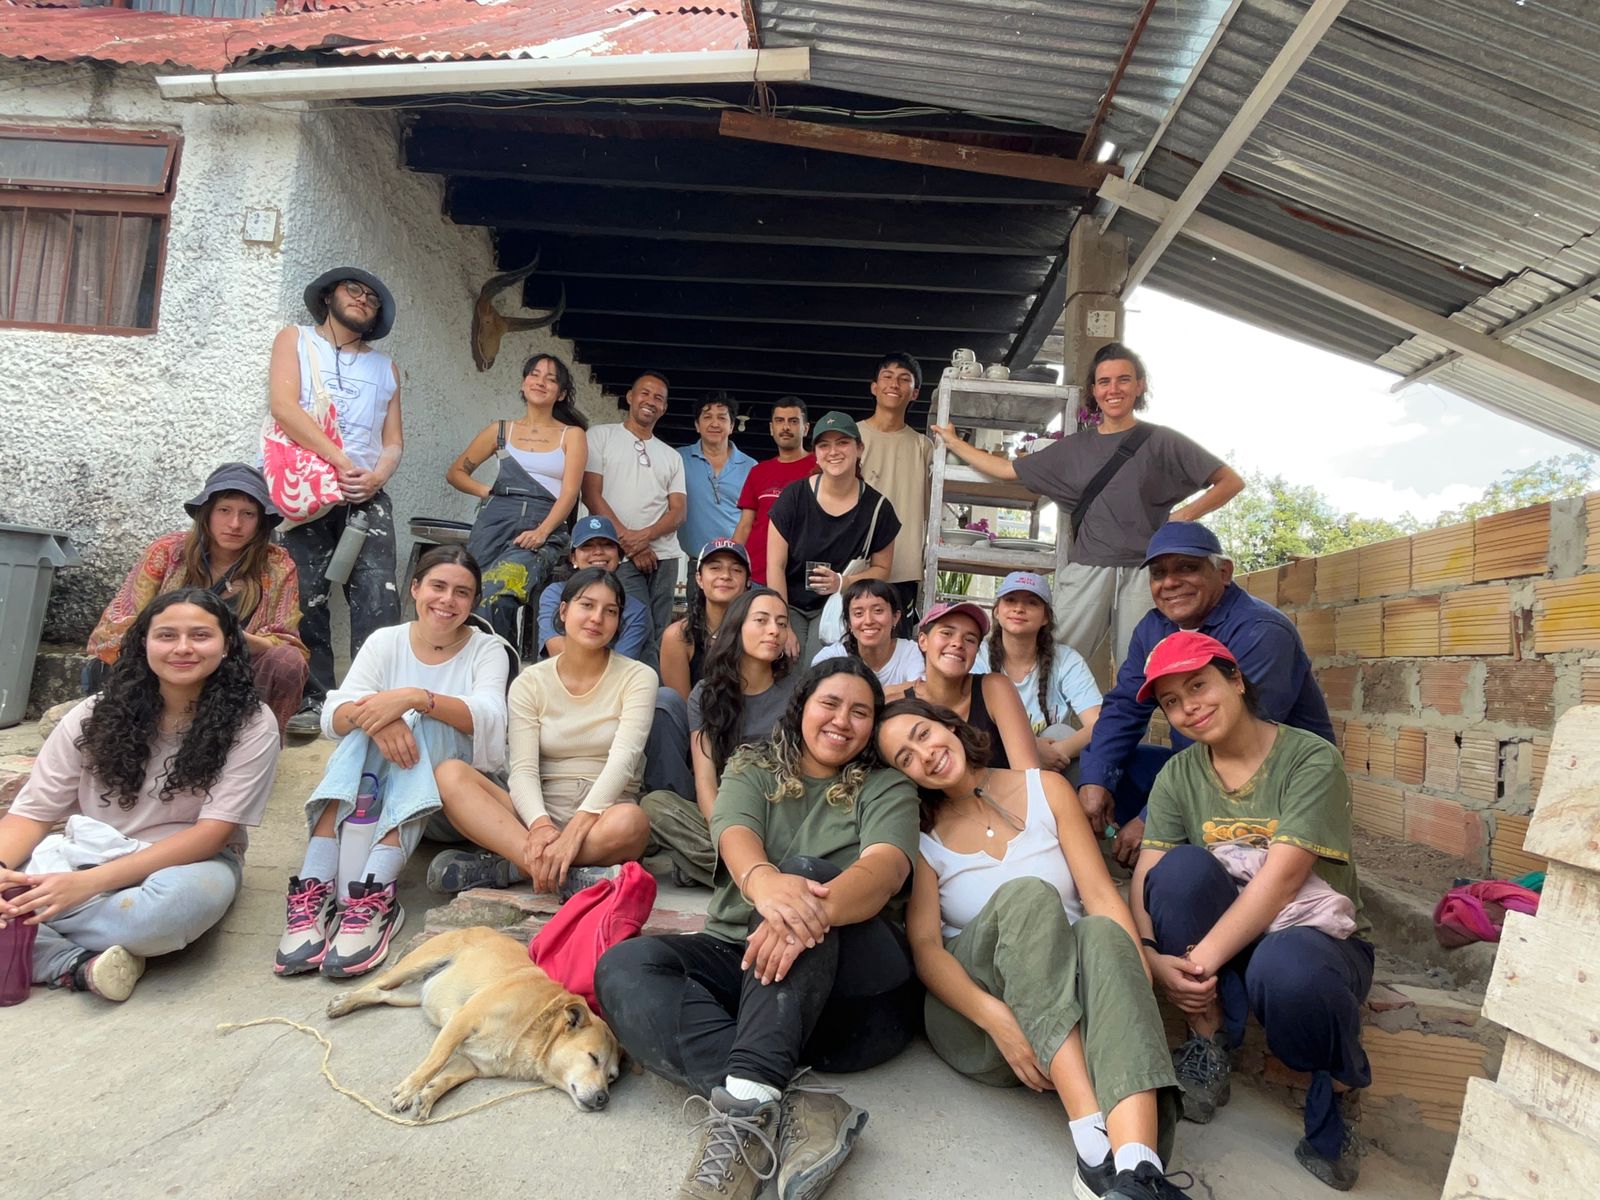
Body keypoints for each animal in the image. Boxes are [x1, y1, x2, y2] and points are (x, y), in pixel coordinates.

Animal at [324, 928, 617, 1120]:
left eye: (612, 1077)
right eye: (593, 1058)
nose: (604, 1098)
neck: (537, 1026)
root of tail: (475, 926)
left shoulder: (473, 1063)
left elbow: (447, 1077)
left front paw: (428, 1095)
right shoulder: (462, 1021)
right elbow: (434, 1062)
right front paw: (410, 1089)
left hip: (409, 997)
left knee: (379, 994)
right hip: (412, 966)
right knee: (374, 983)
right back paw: (343, 1002)